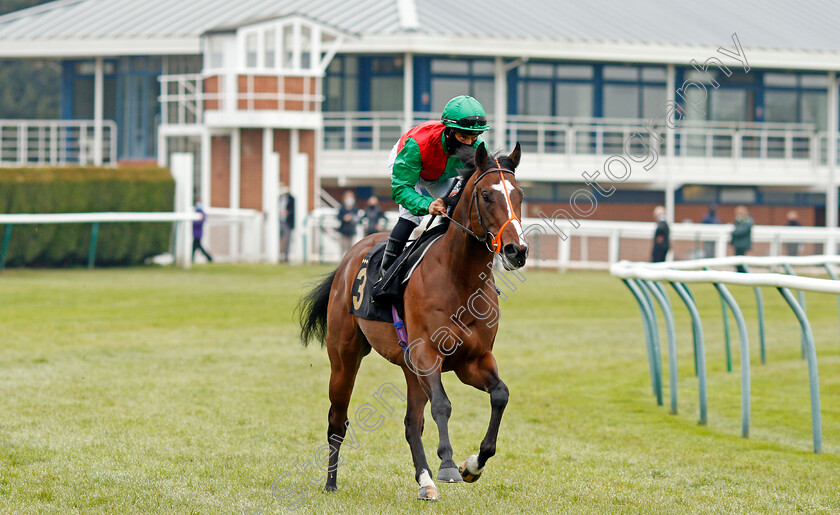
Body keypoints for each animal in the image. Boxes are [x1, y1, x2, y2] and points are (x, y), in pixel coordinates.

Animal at [298, 140, 528, 500]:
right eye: (487, 195)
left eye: (519, 195)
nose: (517, 250)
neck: (459, 279)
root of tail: (350, 255)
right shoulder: (427, 354)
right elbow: (443, 405)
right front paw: (448, 466)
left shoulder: (473, 360)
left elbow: (500, 394)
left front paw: (472, 465)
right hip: (345, 356)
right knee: (338, 419)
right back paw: (331, 483)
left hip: (409, 368)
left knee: (411, 424)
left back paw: (425, 482)